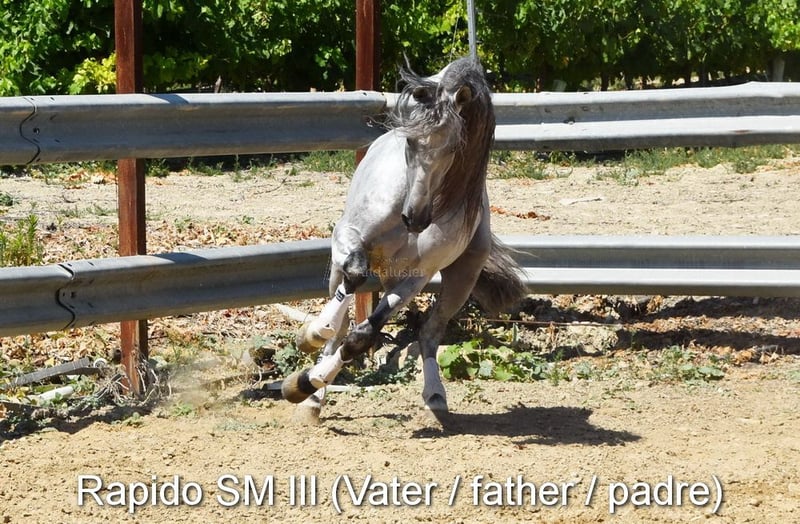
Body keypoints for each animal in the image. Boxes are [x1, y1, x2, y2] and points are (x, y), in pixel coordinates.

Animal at [281, 56, 526, 422]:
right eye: (411, 142)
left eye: (455, 147)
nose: (416, 218)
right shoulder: (347, 235)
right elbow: (353, 282)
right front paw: (310, 361)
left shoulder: (415, 278)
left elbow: (363, 336)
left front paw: (305, 383)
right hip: (347, 263)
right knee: (340, 311)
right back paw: (314, 356)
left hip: (459, 280)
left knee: (429, 333)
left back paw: (434, 395)